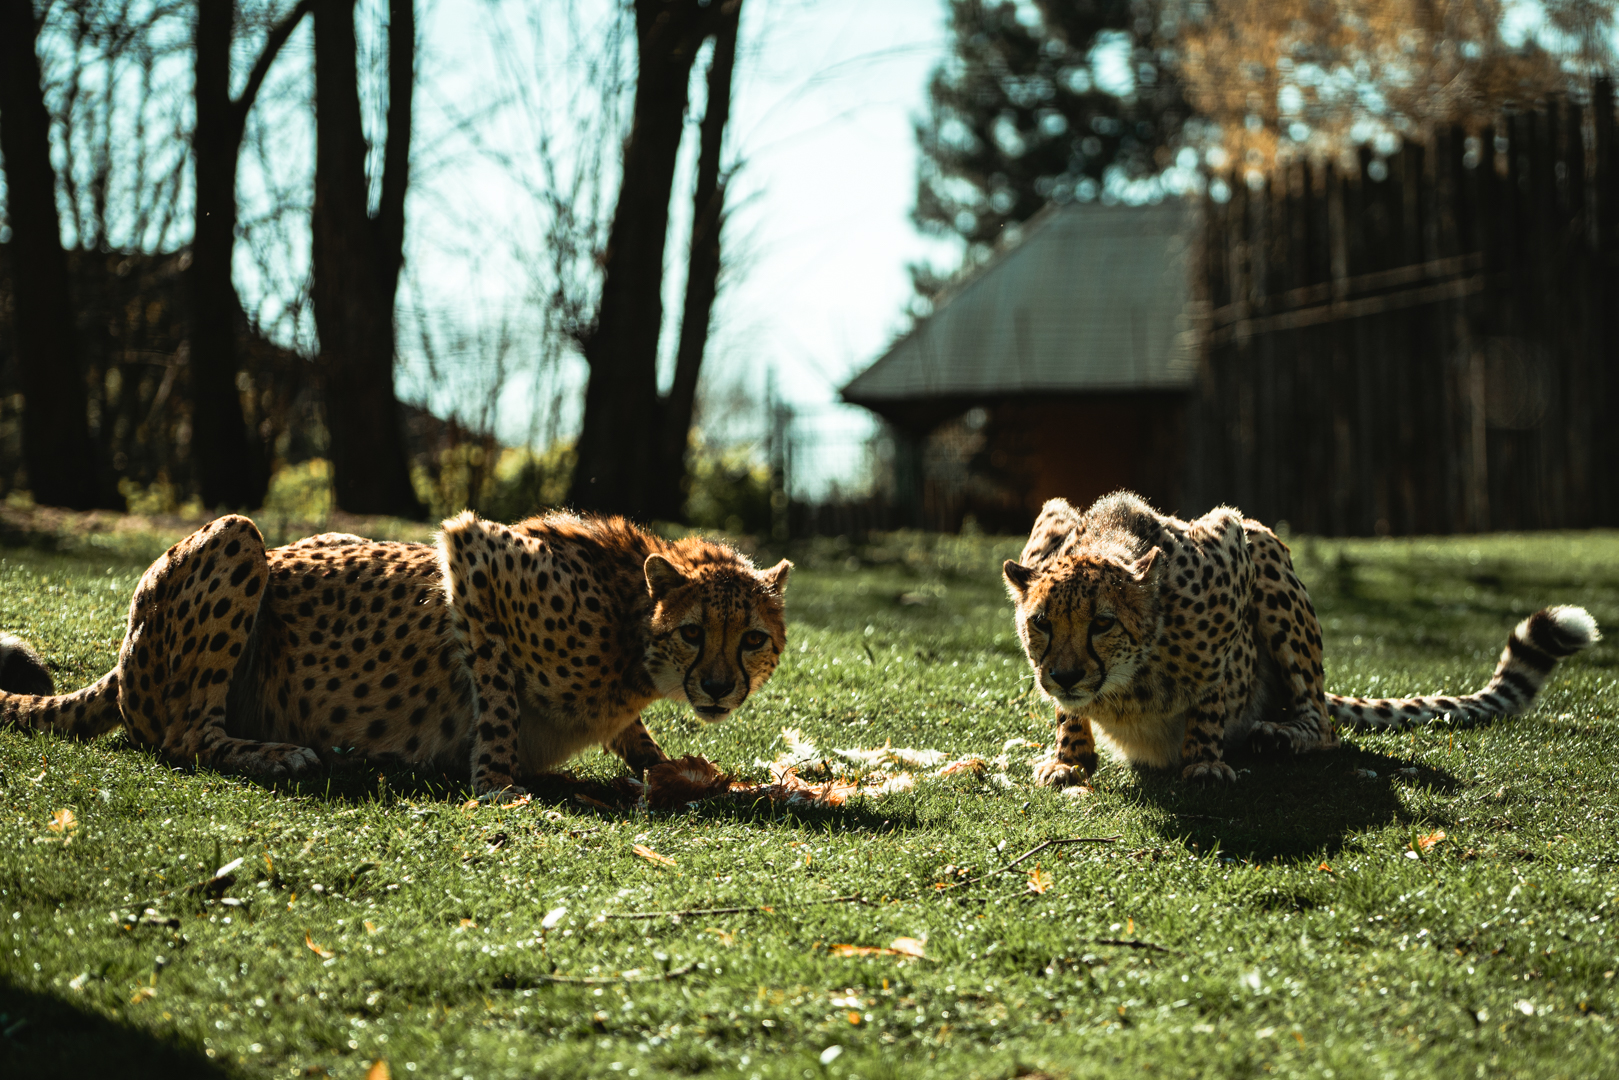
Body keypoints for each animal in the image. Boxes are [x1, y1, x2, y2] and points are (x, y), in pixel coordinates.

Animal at [0, 511, 791, 799]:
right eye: (693, 632)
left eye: (752, 638)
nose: (718, 688)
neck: (632, 627)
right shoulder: (476, 555)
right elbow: (496, 699)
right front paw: (498, 785)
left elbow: (639, 741)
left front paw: (674, 767)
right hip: (238, 537)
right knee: (183, 735)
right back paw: (279, 754)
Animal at [1004, 492, 1600, 787]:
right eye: (1041, 623)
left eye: (1103, 623)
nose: (1064, 675)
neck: (1126, 684)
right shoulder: (1048, 525)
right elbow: (1067, 714)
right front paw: (1069, 758)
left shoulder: (1230, 540)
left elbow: (1214, 686)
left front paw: (1204, 759)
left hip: (1267, 551)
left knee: (1324, 723)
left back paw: (1279, 734)